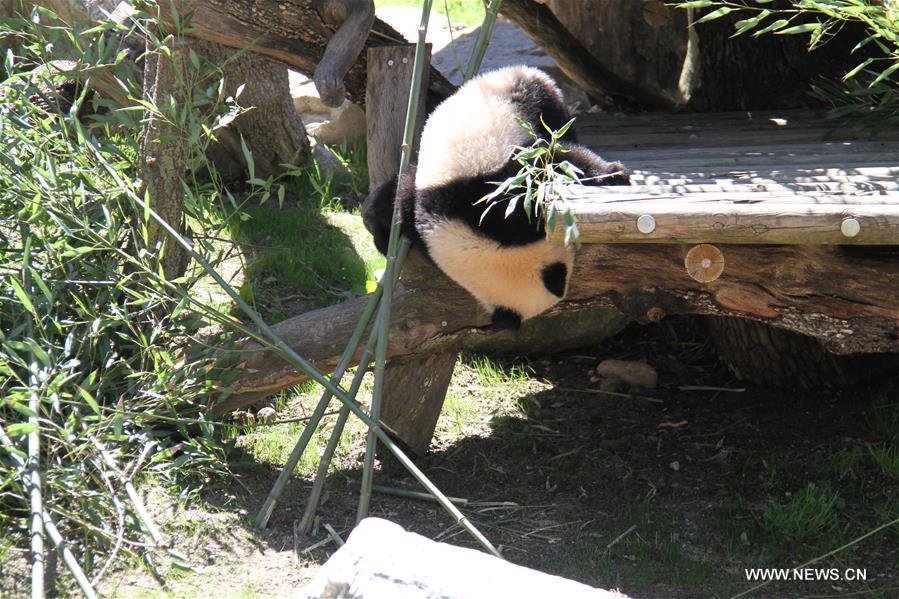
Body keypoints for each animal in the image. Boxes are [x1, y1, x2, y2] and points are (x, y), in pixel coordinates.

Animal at [362, 67, 628, 330]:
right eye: (561, 276)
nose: (563, 288)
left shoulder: (492, 200)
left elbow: (548, 169)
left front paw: (611, 173)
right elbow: (400, 199)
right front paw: (380, 231)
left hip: (525, 99)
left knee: (554, 130)